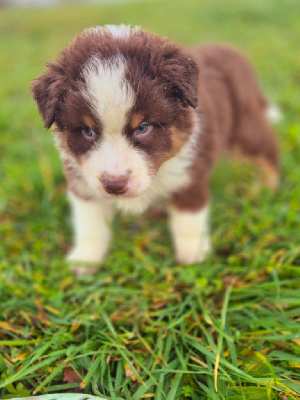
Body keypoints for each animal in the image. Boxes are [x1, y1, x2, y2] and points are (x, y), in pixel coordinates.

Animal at [30, 24, 278, 276]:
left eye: (143, 127)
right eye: (87, 131)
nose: (114, 185)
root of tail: (229, 50)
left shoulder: (189, 174)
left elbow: (189, 219)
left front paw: (194, 254)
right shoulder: (83, 181)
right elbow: (90, 222)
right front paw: (85, 259)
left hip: (245, 126)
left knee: (268, 149)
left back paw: (266, 186)